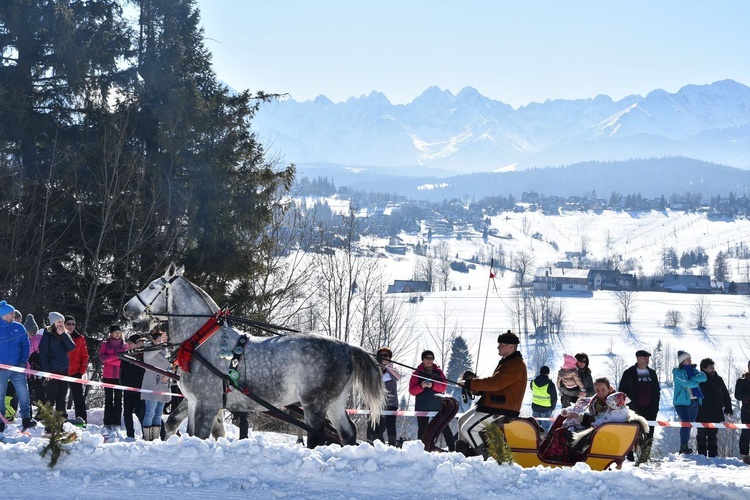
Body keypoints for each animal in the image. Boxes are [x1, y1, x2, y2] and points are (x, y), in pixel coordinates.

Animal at [122, 264, 388, 448]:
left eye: (153, 286)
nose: (126, 308)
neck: (202, 341)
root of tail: (346, 347)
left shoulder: (207, 404)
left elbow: (200, 435)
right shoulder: (195, 401)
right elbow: (173, 426)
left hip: (314, 404)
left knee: (316, 438)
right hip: (335, 403)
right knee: (348, 433)